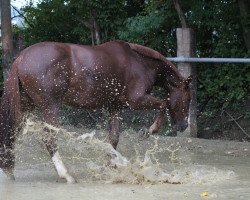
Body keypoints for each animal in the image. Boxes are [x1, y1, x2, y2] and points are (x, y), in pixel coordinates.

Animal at [0, 40, 191, 183]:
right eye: (188, 99)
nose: (183, 126)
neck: (140, 62)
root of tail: (21, 58)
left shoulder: (115, 108)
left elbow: (113, 139)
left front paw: (110, 167)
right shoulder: (136, 100)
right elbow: (163, 104)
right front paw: (149, 130)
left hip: (25, 107)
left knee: (11, 132)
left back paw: (9, 170)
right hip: (50, 108)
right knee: (49, 138)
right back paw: (66, 175)